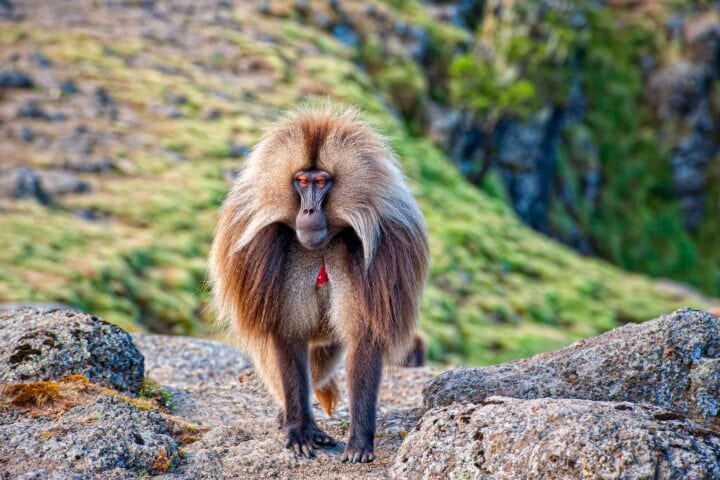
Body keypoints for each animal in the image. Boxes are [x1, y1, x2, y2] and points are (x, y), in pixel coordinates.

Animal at [208, 104, 429, 463]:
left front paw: (359, 442)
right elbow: (285, 333)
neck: (324, 243)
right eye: (301, 181)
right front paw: (300, 431)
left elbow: (365, 337)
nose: (309, 210)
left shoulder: (387, 247)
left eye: (322, 182)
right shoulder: (260, 251)